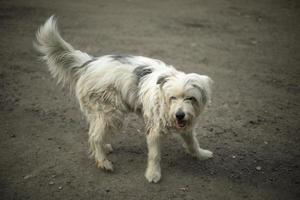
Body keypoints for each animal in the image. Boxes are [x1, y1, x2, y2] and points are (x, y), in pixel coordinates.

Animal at [34, 16, 213, 184]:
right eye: (173, 97)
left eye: (191, 98)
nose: (179, 115)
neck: (164, 102)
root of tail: (88, 64)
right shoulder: (154, 131)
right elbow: (155, 155)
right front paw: (153, 174)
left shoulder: (187, 126)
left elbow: (192, 142)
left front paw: (201, 154)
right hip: (110, 113)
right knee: (95, 136)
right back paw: (103, 162)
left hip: (101, 113)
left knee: (93, 132)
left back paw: (103, 148)